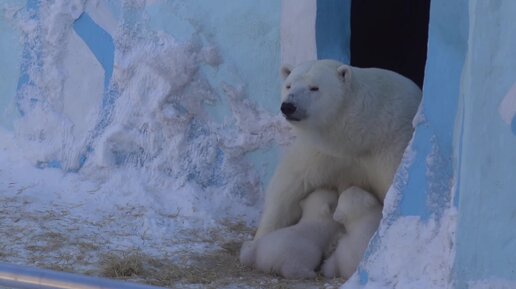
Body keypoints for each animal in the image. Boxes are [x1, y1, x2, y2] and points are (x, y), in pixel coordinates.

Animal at [256, 59, 422, 238]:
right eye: (288, 85)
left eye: (314, 87)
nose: (288, 106)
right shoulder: (323, 150)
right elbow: (290, 184)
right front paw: (263, 234)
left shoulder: (392, 146)